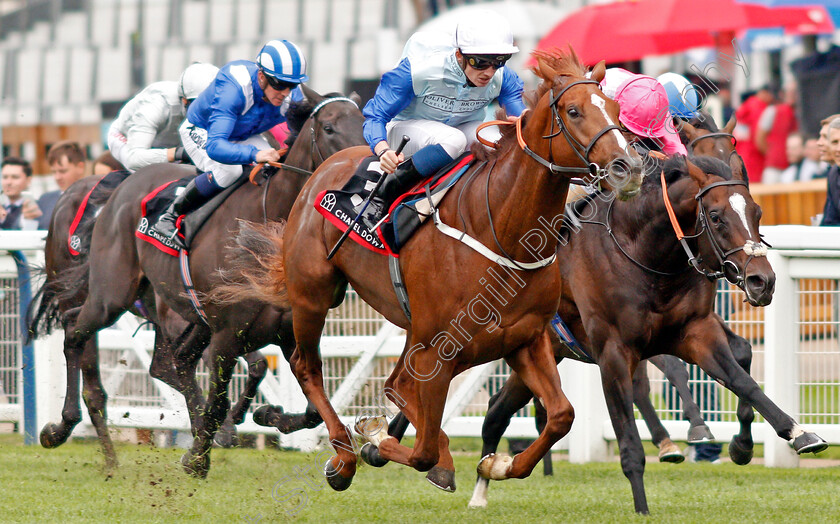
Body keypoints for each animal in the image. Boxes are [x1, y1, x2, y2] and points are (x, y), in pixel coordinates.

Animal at [36, 87, 364, 474]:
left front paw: (265, 416)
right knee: (77, 334)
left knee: (167, 359)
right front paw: (201, 452)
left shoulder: (284, 331)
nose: (365, 166)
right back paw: (64, 429)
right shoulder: (226, 332)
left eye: (365, 122)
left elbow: (312, 408)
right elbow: (222, 396)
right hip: (112, 296)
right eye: (328, 128)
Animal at [240, 47, 648, 494]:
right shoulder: (438, 347)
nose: (628, 167)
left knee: (395, 385)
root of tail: (322, 169)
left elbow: (561, 416)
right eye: (574, 111)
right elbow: (421, 451)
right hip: (314, 294)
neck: (499, 229)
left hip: (414, 329)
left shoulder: (526, 338)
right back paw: (344, 459)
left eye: (614, 107)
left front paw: (498, 464)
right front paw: (376, 438)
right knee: (308, 366)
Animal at [470, 151, 832, 512]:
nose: (762, 281)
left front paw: (789, 435)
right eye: (715, 217)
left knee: (496, 409)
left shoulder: (695, 331)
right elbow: (630, 439)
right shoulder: (614, 352)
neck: (644, 254)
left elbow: (745, 382)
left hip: (544, 354)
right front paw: (642, 509)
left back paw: (486, 479)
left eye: (757, 212)